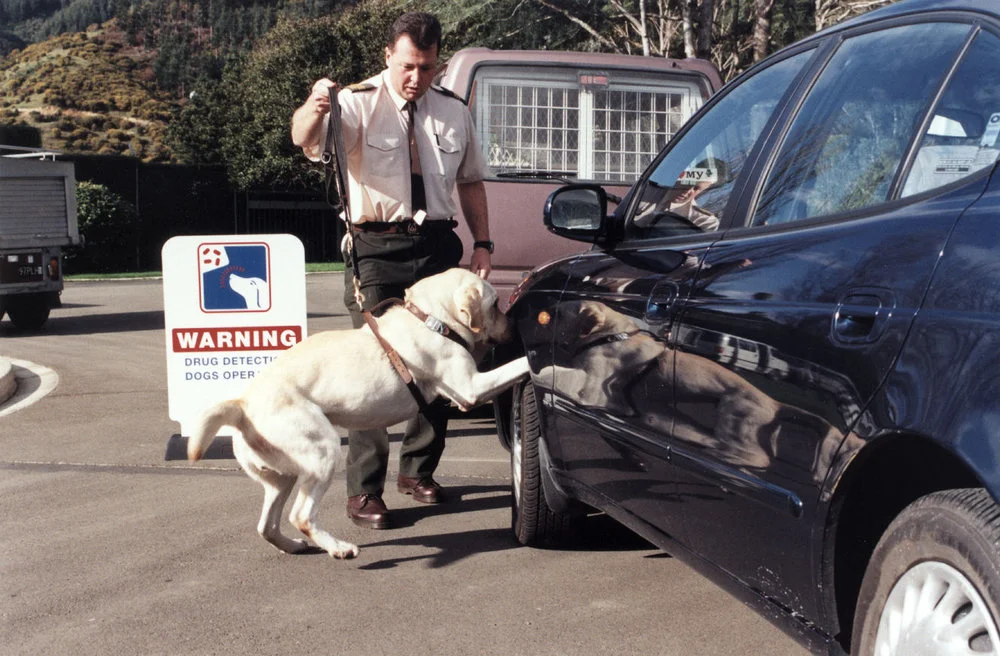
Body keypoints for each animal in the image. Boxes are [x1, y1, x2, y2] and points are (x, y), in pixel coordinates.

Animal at [188, 266, 532, 560]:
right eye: (496, 304)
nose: (515, 327)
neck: (430, 319)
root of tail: (243, 404)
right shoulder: (471, 388)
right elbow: (519, 365)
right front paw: (537, 360)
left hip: (280, 478)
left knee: (267, 526)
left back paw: (295, 546)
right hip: (323, 451)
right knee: (301, 516)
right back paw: (339, 548)